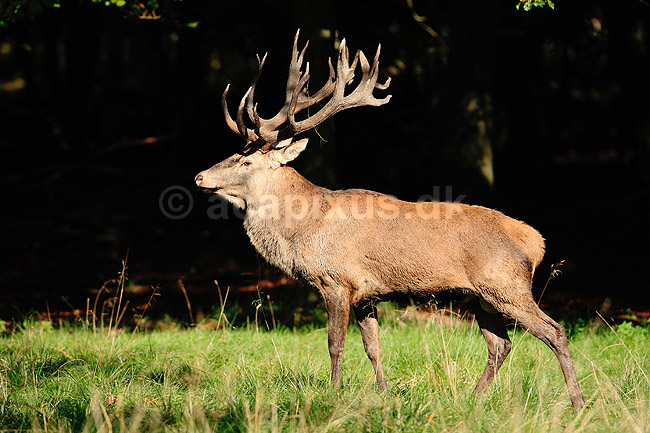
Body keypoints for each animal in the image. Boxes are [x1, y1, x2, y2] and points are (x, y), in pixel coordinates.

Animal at [195, 31, 586, 412]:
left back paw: (578, 404)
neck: (302, 230)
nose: (200, 176)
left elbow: (334, 344)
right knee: (500, 344)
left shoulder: (337, 280)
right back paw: (473, 400)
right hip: (479, 297)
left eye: (245, 161)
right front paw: (383, 394)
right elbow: (373, 347)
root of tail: (536, 242)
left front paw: (332, 394)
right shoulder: (367, 294)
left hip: (506, 285)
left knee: (555, 331)